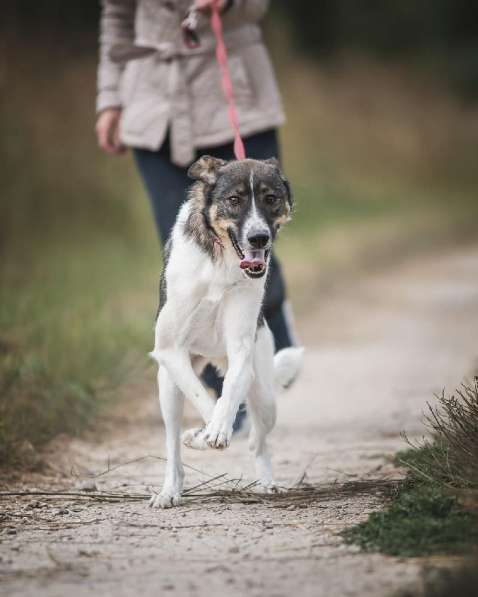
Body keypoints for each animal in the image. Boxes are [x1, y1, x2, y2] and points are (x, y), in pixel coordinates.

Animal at [149, 155, 302, 508]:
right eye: (234, 200)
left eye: (270, 198)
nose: (259, 238)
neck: (221, 259)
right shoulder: (169, 350)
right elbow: (202, 396)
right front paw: (208, 432)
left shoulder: (242, 348)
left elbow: (229, 390)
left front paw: (215, 430)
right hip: (168, 387)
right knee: (173, 444)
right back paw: (170, 489)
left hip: (265, 394)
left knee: (258, 440)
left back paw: (267, 483)